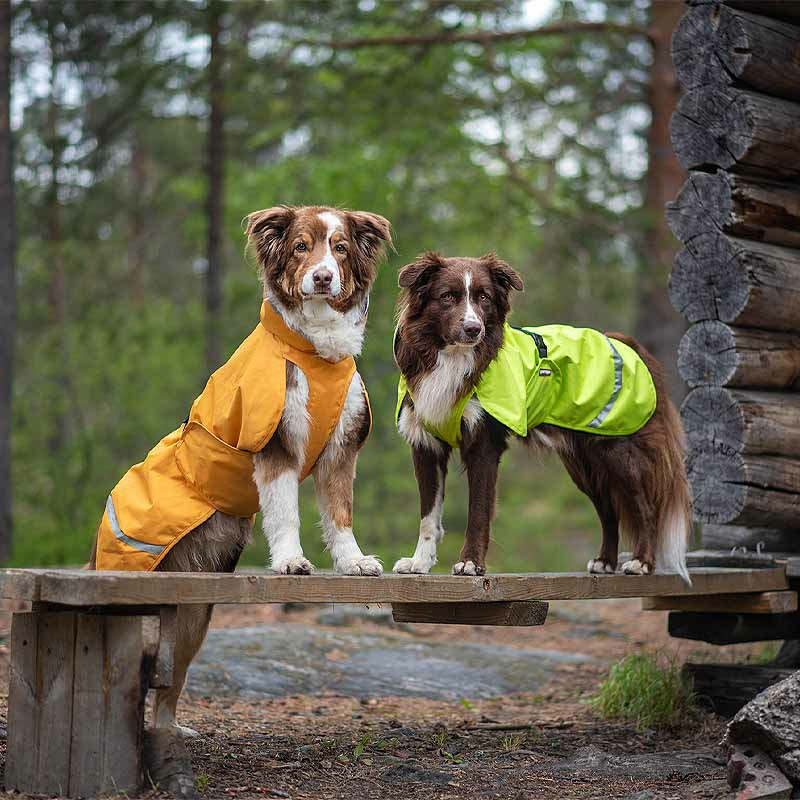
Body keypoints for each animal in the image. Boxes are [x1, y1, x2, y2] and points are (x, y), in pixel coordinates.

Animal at [89, 203, 392, 736]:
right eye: (300, 247)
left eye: (339, 249)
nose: (322, 277)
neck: (317, 354)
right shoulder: (275, 445)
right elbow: (286, 514)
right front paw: (291, 562)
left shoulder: (340, 449)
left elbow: (340, 515)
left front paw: (353, 562)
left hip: (194, 613)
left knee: (169, 677)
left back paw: (171, 733)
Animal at [390, 255, 692, 580]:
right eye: (447, 296)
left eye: (484, 297)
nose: (473, 329)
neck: (452, 357)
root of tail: (633, 347)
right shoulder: (426, 446)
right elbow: (428, 517)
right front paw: (420, 563)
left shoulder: (485, 445)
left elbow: (478, 512)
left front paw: (471, 563)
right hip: (585, 464)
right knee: (609, 510)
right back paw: (605, 562)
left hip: (619, 452)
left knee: (645, 507)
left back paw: (642, 562)